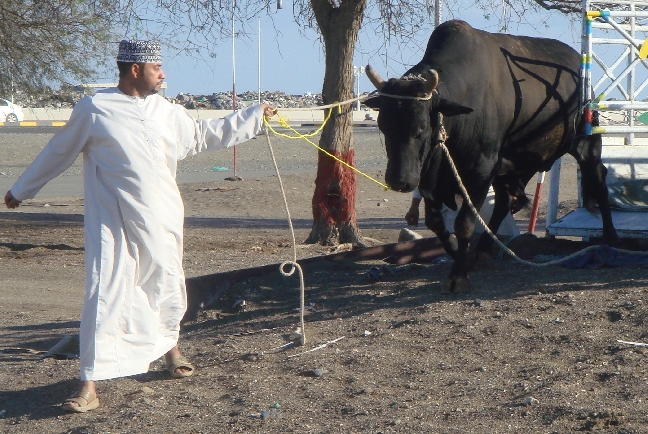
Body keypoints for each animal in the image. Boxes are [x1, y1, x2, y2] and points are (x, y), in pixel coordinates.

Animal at [364, 19, 616, 292]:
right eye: (383, 124)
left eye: (420, 128)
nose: (399, 180)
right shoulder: (432, 177)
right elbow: (435, 222)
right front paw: (459, 254)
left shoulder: (480, 171)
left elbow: (464, 223)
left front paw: (458, 274)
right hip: (507, 165)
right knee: (505, 202)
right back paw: (484, 249)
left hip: (587, 144)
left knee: (598, 178)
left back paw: (610, 237)